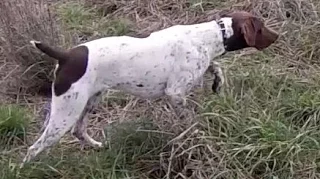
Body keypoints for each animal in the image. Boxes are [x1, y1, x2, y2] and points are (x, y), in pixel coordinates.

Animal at [20, 10, 278, 167]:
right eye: (262, 27)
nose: (277, 35)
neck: (210, 36)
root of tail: (64, 56)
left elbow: (216, 67)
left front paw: (218, 82)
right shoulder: (175, 93)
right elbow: (191, 120)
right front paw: (194, 134)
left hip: (89, 101)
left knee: (79, 131)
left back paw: (98, 146)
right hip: (66, 112)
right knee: (34, 148)